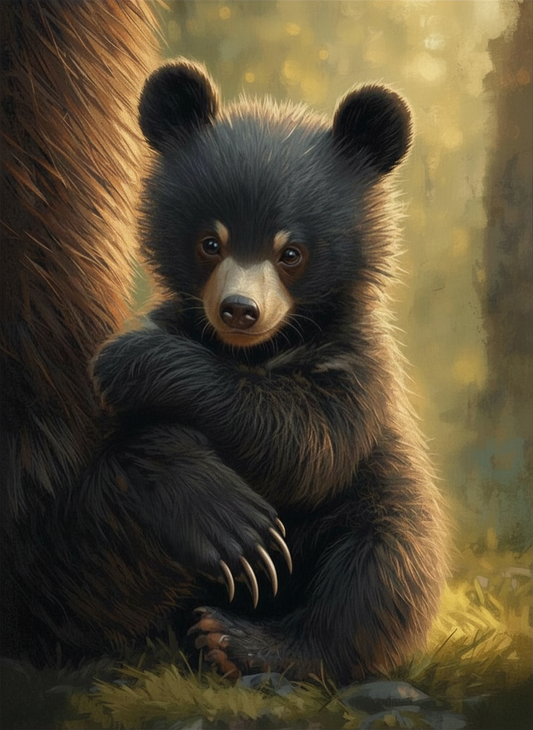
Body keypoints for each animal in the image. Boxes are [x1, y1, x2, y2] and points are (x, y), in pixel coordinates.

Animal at [90, 58, 447, 684]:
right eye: (211, 242)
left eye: (291, 253)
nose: (239, 310)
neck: (256, 351)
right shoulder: (182, 323)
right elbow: (131, 437)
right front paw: (237, 531)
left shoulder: (357, 364)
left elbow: (305, 442)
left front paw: (126, 359)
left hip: (383, 505)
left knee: (379, 572)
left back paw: (239, 641)